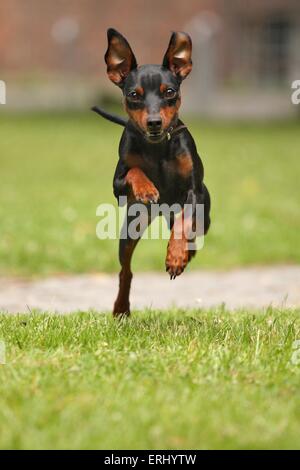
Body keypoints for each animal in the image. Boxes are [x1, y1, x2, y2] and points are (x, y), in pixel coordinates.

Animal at [93, 28, 211, 316]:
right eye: (133, 95)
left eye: (169, 91)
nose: (155, 123)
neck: (157, 147)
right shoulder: (117, 184)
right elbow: (135, 169)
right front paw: (147, 188)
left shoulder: (194, 190)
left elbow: (184, 221)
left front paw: (176, 256)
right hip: (131, 229)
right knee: (126, 271)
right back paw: (121, 308)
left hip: (205, 216)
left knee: (190, 226)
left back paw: (187, 252)